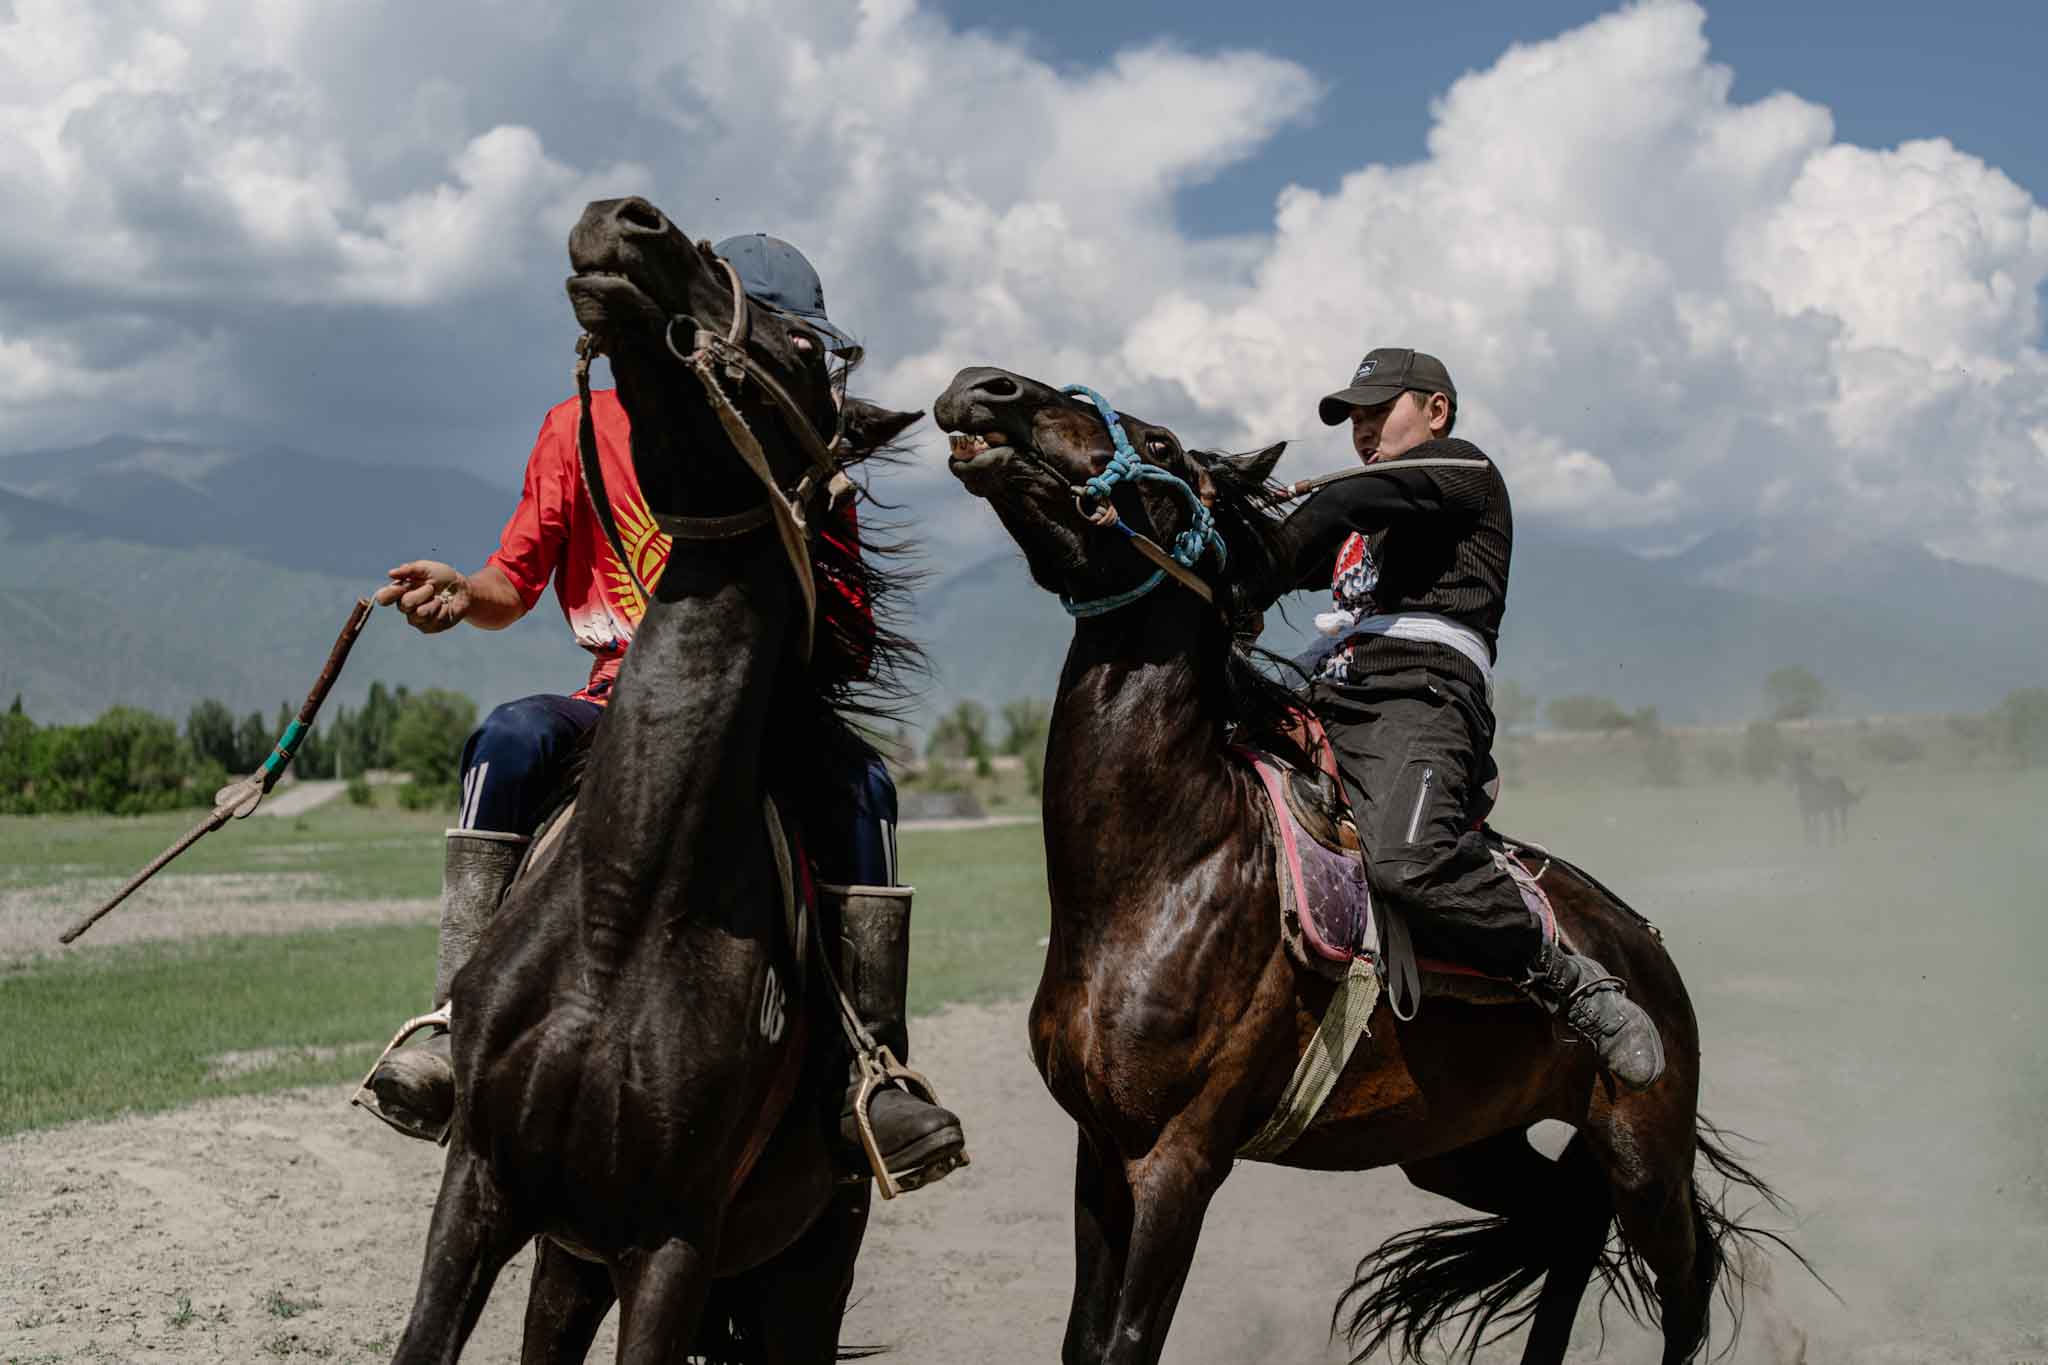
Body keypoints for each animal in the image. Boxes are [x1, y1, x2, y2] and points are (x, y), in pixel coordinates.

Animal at [934, 366, 1804, 1365]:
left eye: (1158, 444)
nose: (984, 388)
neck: (1169, 875)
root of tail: (1646, 949)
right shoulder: (1101, 1149)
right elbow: (1083, 1343)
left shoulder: (1178, 1161)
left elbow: (1125, 1344)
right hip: (1460, 1145)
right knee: (1567, 1230)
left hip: (1646, 1160)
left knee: (1683, 1288)